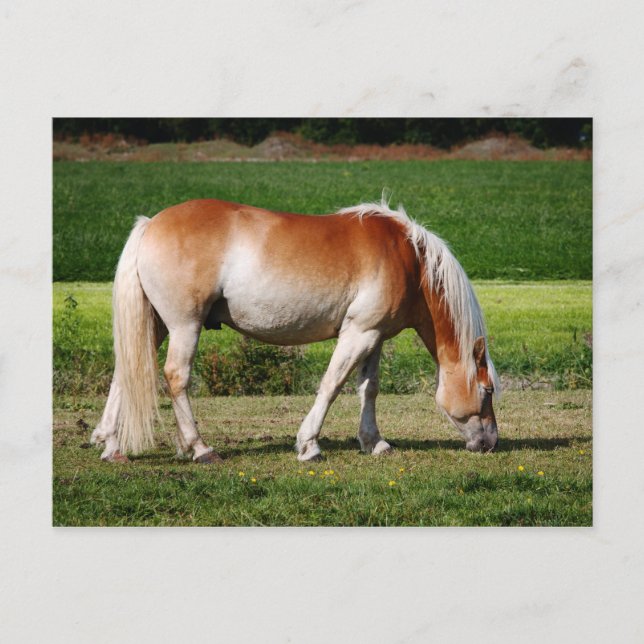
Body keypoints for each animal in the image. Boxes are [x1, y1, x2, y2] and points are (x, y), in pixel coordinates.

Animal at [90, 197, 500, 463]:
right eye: (486, 390)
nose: (491, 442)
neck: (409, 257)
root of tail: (151, 224)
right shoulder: (359, 333)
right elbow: (331, 385)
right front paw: (308, 445)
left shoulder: (375, 337)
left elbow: (368, 389)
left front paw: (374, 443)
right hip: (183, 326)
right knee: (176, 377)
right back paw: (200, 448)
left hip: (155, 325)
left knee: (124, 372)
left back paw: (111, 446)